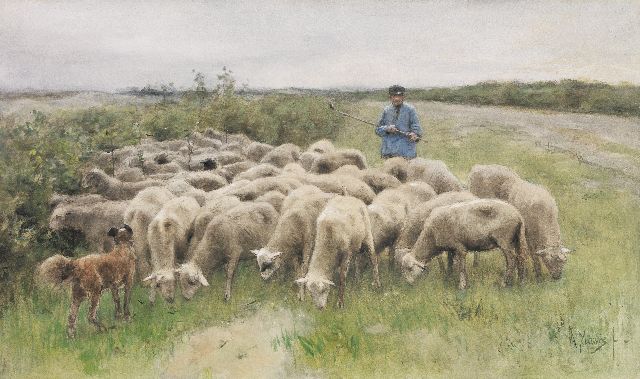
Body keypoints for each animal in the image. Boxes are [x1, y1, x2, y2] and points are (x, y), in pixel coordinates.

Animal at [398, 199, 528, 290]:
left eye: (410, 269)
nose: (409, 284)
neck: (431, 237)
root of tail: (518, 215)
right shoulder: (451, 249)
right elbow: (452, 264)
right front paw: (450, 278)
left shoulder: (460, 247)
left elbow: (461, 267)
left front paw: (462, 286)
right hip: (516, 239)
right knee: (520, 258)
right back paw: (520, 282)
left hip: (504, 239)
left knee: (512, 260)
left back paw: (504, 283)